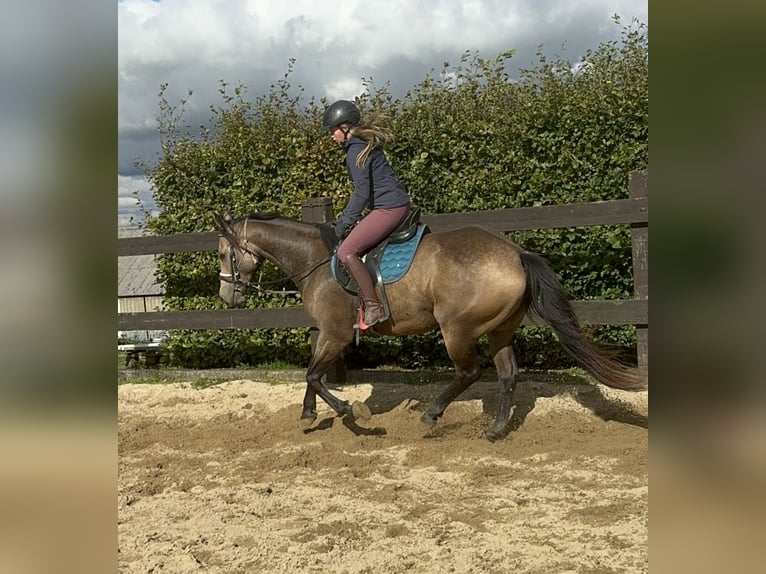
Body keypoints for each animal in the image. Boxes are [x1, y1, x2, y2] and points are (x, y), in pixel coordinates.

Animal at [214, 212, 648, 440]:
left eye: (221, 253)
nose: (226, 297)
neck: (316, 261)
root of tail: (516, 253)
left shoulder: (335, 335)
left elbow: (315, 376)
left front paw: (353, 412)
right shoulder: (326, 334)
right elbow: (311, 374)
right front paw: (308, 415)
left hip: (457, 329)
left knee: (469, 372)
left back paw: (432, 415)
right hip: (500, 329)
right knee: (508, 374)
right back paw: (496, 429)